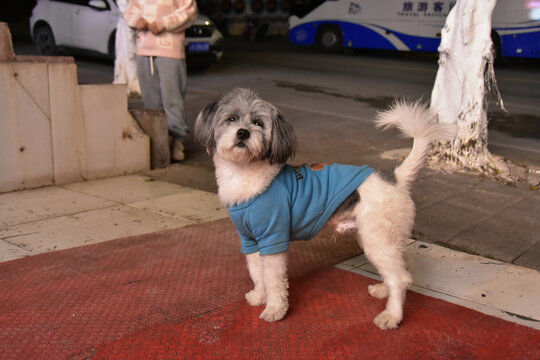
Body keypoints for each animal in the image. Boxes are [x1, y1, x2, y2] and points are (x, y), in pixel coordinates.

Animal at [195, 87, 456, 330]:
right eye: (231, 119)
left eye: (258, 123)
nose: (243, 132)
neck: (245, 175)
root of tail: (396, 179)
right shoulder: (250, 240)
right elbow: (257, 274)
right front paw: (259, 296)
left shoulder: (273, 239)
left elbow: (274, 280)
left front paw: (274, 309)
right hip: (386, 239)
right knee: (403, 270)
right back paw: (384, 290)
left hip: (378, 240)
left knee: (400, 278)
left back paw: (391, 316)